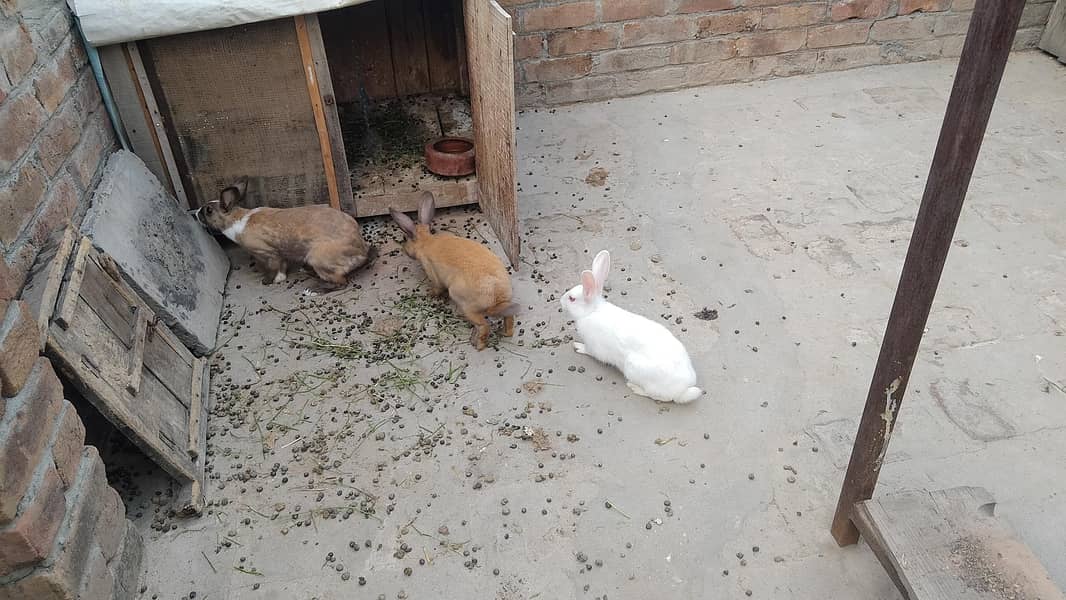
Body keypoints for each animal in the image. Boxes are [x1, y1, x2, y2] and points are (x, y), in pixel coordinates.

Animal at [196, 178, 374, 287]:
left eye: (208, 210)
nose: (196, 213)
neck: (235, 220)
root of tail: (361, 252)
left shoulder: (268, 252)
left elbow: (273, 267)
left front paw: (268, 281)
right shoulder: (278, 254)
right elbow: (282, 266)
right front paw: (280, 279)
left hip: (318, 258)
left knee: (340, 281)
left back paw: (314, 290)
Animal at [389, 191, 518, 350]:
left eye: (405, 238)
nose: (404, 249)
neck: (426, 242)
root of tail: (497, 297)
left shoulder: (432, 272)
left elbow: (437, 287)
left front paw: (430, 294)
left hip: (463, 302)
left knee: (484, 325)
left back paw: (478, 344)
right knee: (509, 319)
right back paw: (505, 333)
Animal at [560, 250, 702, 404]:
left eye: (572, 299)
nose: (560, 301)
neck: (591, 311)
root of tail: (683, 390)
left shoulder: (594, 347)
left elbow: (589, 351)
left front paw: (578, 347)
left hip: (634, 369)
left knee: (658, 396)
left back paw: (634, 388)